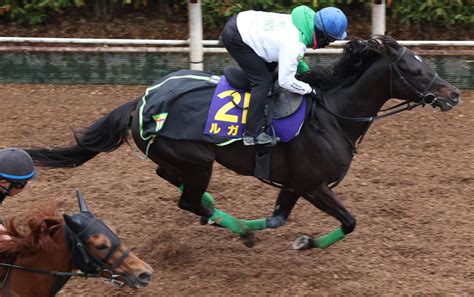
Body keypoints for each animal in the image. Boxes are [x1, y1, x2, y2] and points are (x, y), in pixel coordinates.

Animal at [25, 37, 460, 250]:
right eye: (413, 69)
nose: (453, 94)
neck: (332, 116)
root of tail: (139, 101)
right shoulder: (312, 184)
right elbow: (349, 222)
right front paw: (304, 242)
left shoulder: (293, 184)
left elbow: (278, 217)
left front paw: (280, 233)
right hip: (198, 160)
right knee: (186, 200)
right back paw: (223, 219)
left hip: (183, 159)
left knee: (170, 177)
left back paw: (215, 209)